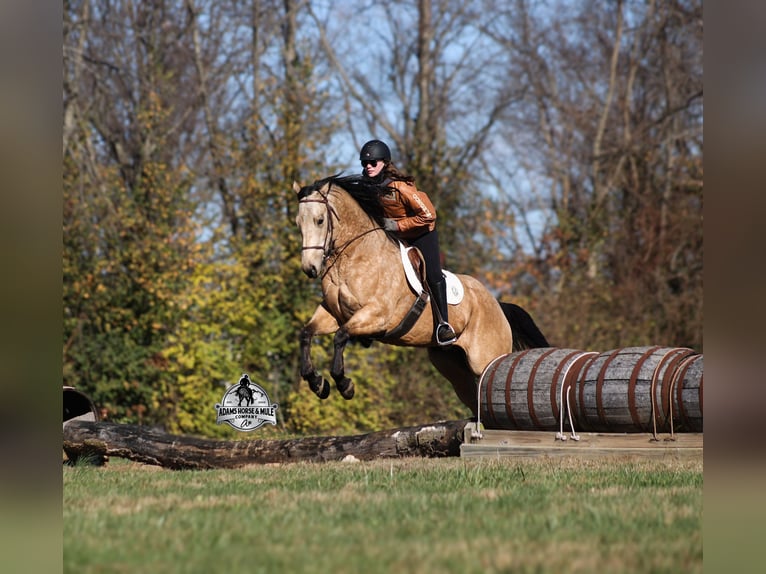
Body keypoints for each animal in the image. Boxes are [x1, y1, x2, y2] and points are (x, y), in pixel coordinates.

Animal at [293, 174, 549, 415]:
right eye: (298, 223)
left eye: (319, 220)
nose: (310, 268)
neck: (352, 257)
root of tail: (497, 304)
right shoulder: (332, 313)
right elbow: (306, 333)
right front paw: (317, 383)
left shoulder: (376, 315)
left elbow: (340, 336)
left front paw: (344, 384)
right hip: (452, 366)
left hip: (485, 358)